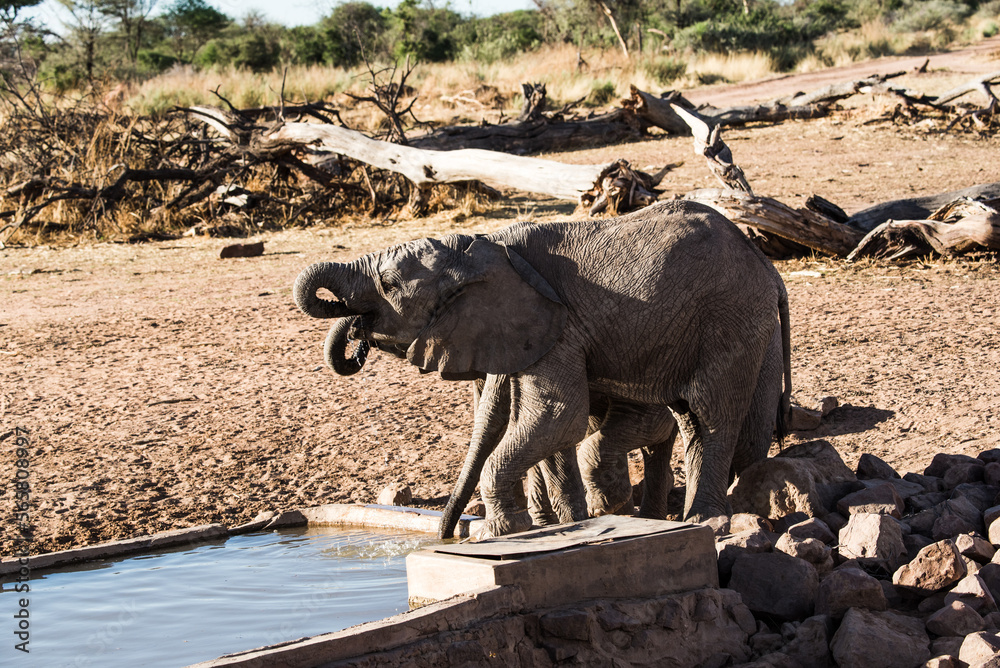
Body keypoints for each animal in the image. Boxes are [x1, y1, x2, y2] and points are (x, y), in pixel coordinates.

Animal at [294, 200, 791, 538]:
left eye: (390, 284)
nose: (356, 337)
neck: (487, 247)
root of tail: (766, 263)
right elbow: (547, 427)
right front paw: (565, 524)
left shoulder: (560, 326)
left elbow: (559, 417)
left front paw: (508, 532)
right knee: (694, 420)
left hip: (731, 315)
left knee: (713, 414)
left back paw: (705, 520)